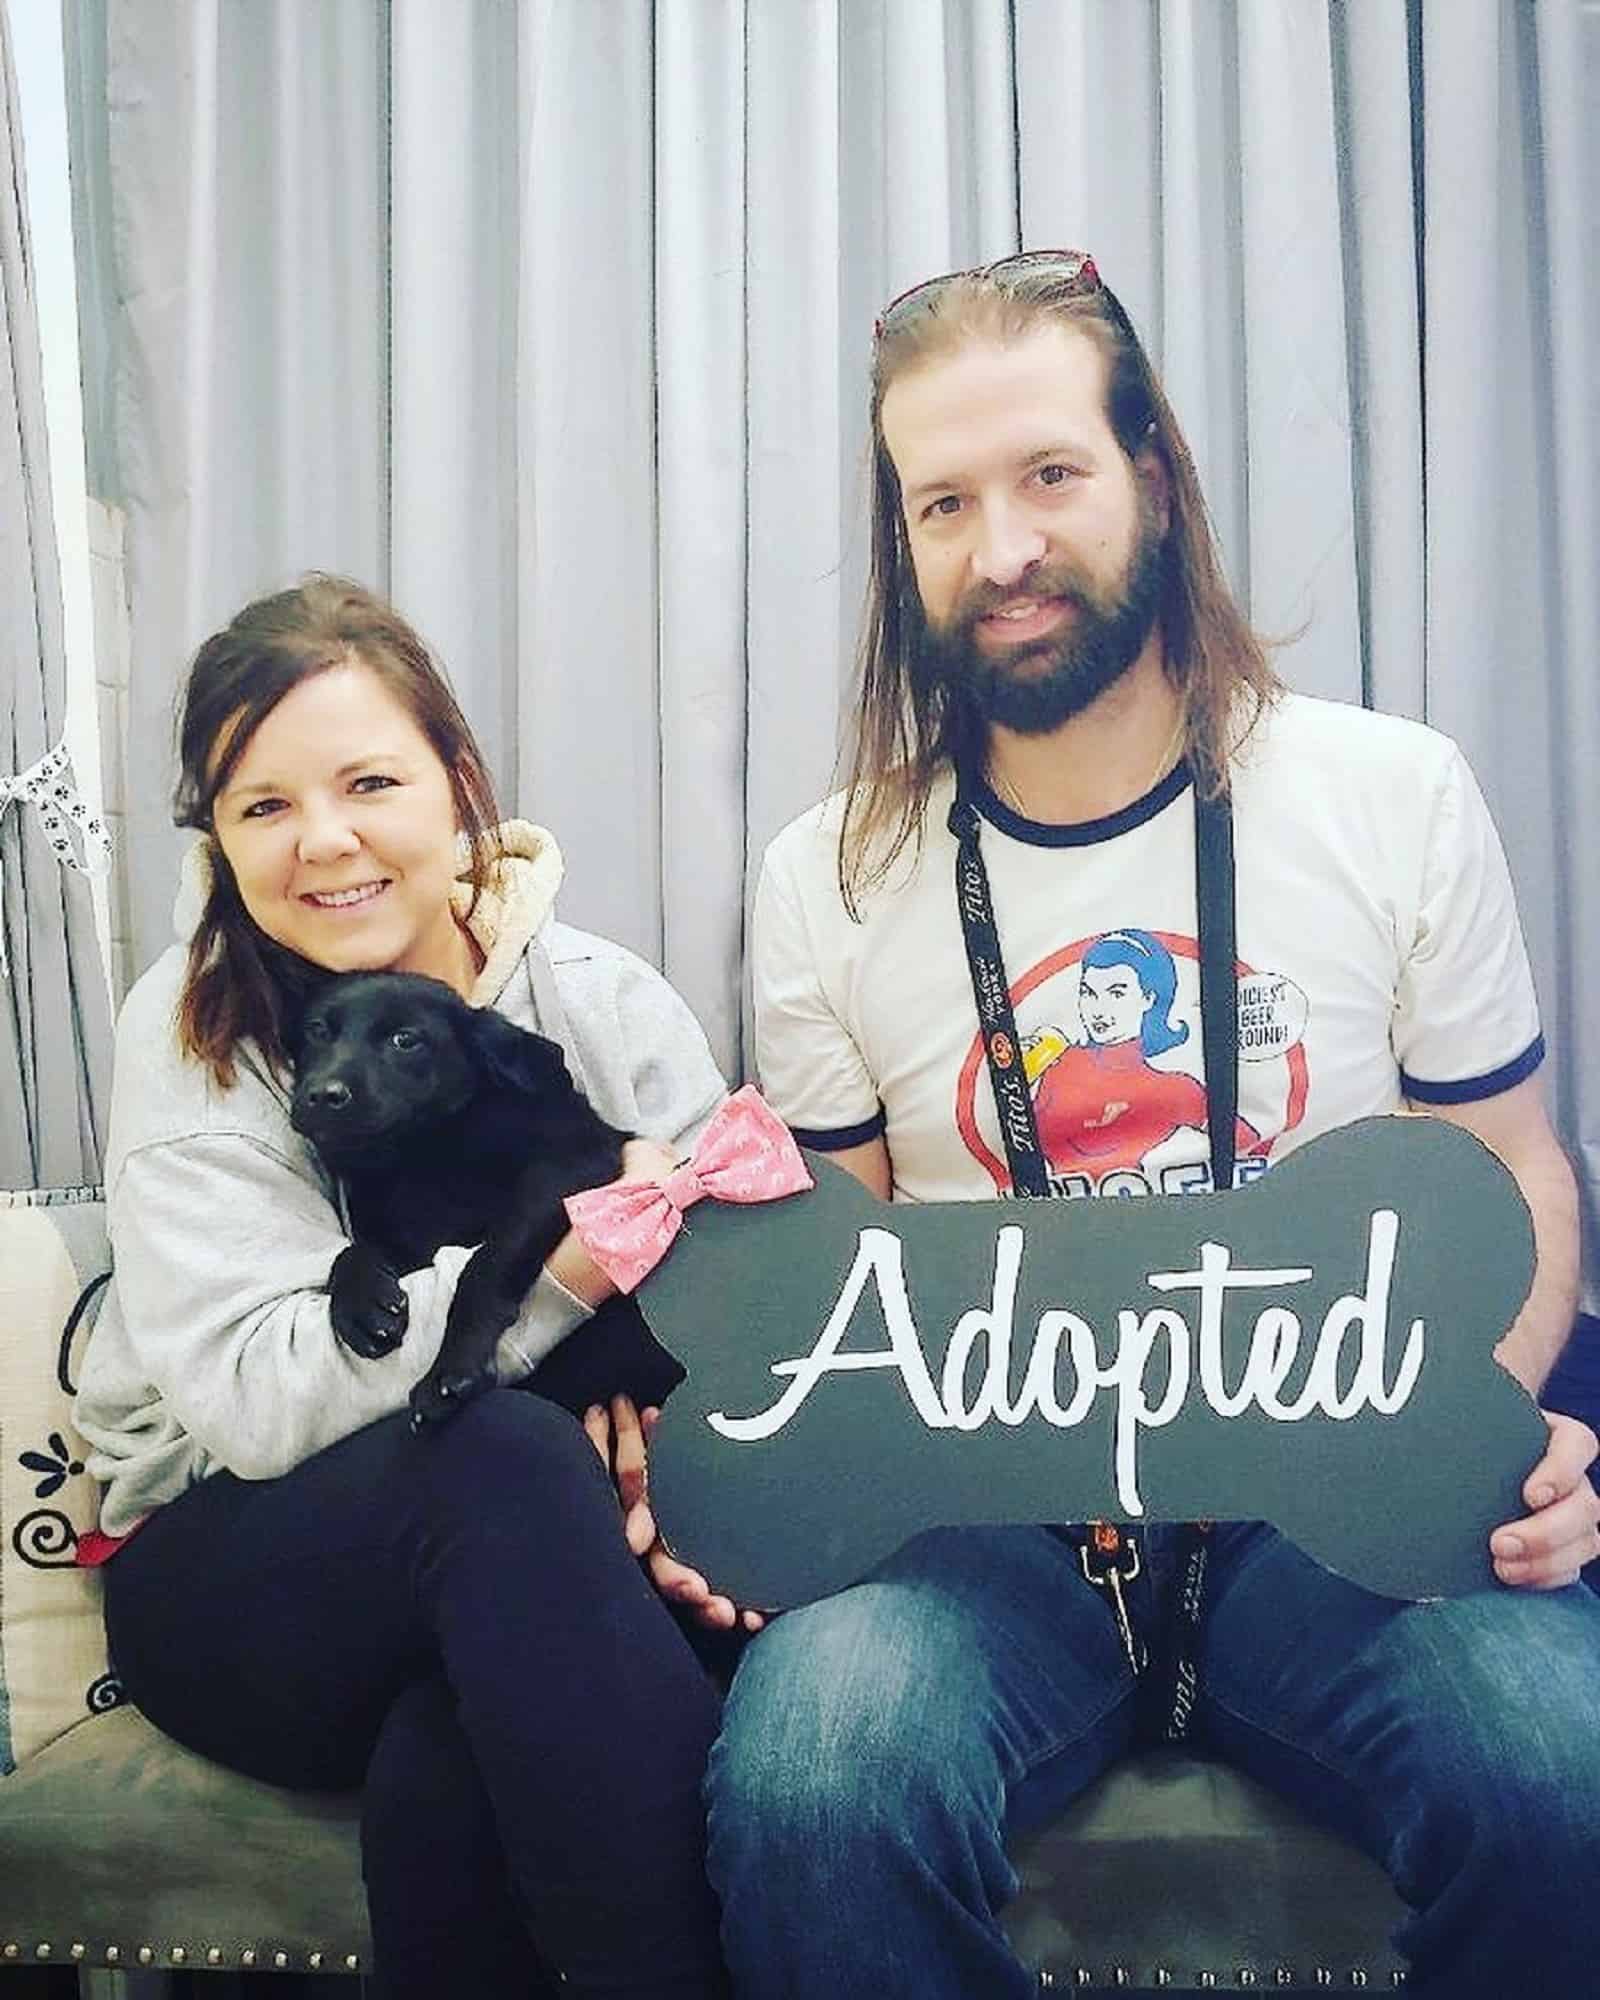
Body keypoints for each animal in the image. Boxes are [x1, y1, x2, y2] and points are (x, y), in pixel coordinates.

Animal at [288, 972, 680, 1432]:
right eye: (316, 1031)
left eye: (405, 1039)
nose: (321, 1095)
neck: (419, 1154)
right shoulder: (396, 1241)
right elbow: (352, 1252)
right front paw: (361, 1303)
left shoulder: (567, 1169)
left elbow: (486, 1263)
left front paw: (452, 1370)